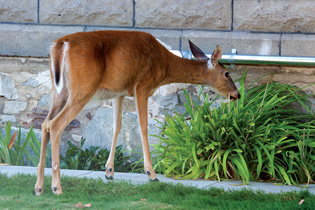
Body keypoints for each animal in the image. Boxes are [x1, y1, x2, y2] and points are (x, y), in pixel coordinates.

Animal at [34, 30, 241, 196]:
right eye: (227, 74)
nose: (237, 94)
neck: (164, 65)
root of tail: (60, 45)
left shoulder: (118, 91)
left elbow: (117, 126)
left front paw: (109, 171)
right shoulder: (142, 86)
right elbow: (143, 126)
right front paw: (151, 174)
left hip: (59, 91)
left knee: (45, 124)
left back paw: (39, 187)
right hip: (82, 89)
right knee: (55, 125)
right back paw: (56, 188)